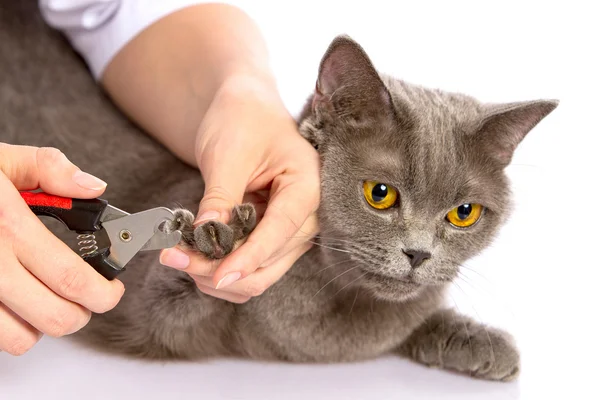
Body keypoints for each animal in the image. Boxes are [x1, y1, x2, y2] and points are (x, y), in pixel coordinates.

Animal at [0, 1, 556, 382]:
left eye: (464, 213)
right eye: (380, 193)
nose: (418, 254)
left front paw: (483, 344)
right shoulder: (145, 310)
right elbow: (171, 301)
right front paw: (229, 238)